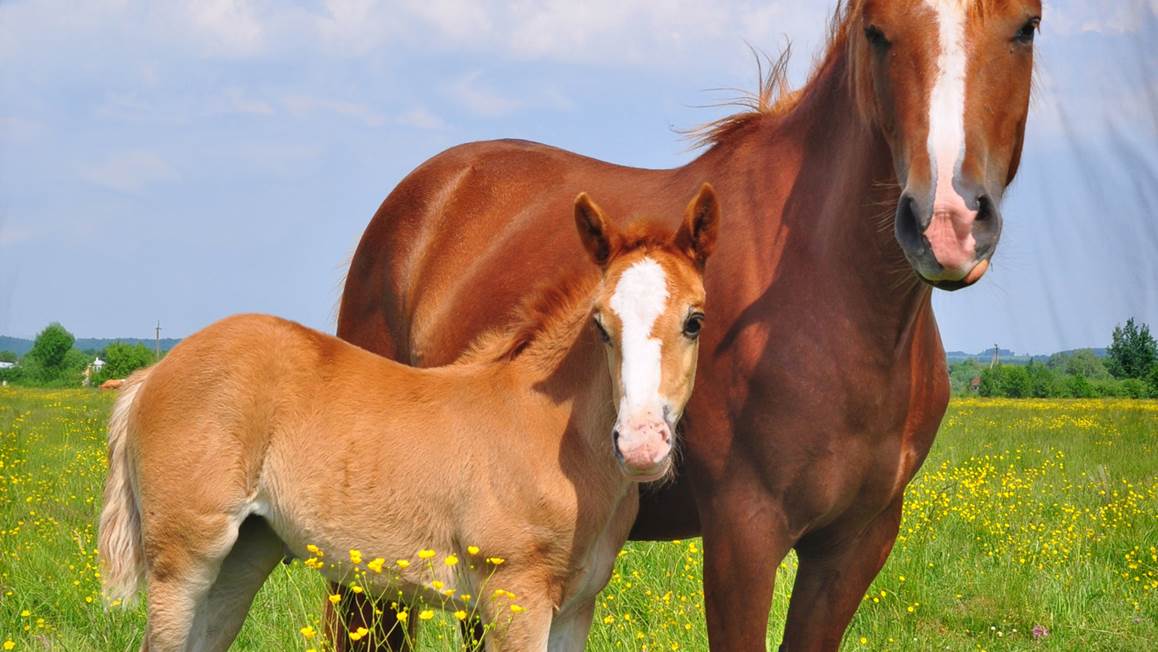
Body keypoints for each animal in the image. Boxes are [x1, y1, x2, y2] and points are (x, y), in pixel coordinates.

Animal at [97, 185, 721, 651]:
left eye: (695, 320)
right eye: (599, 324)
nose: (640, 445)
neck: (550, 438)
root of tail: (154, 372)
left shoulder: (575, 607)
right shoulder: (514, 598)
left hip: (245, 554)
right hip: (184, 559)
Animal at [332, 1, 1040, 649]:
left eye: (1027, 26)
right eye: (877, 33)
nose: (946, 223)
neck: (830, 304)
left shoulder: (854, 544)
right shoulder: (742, 534)